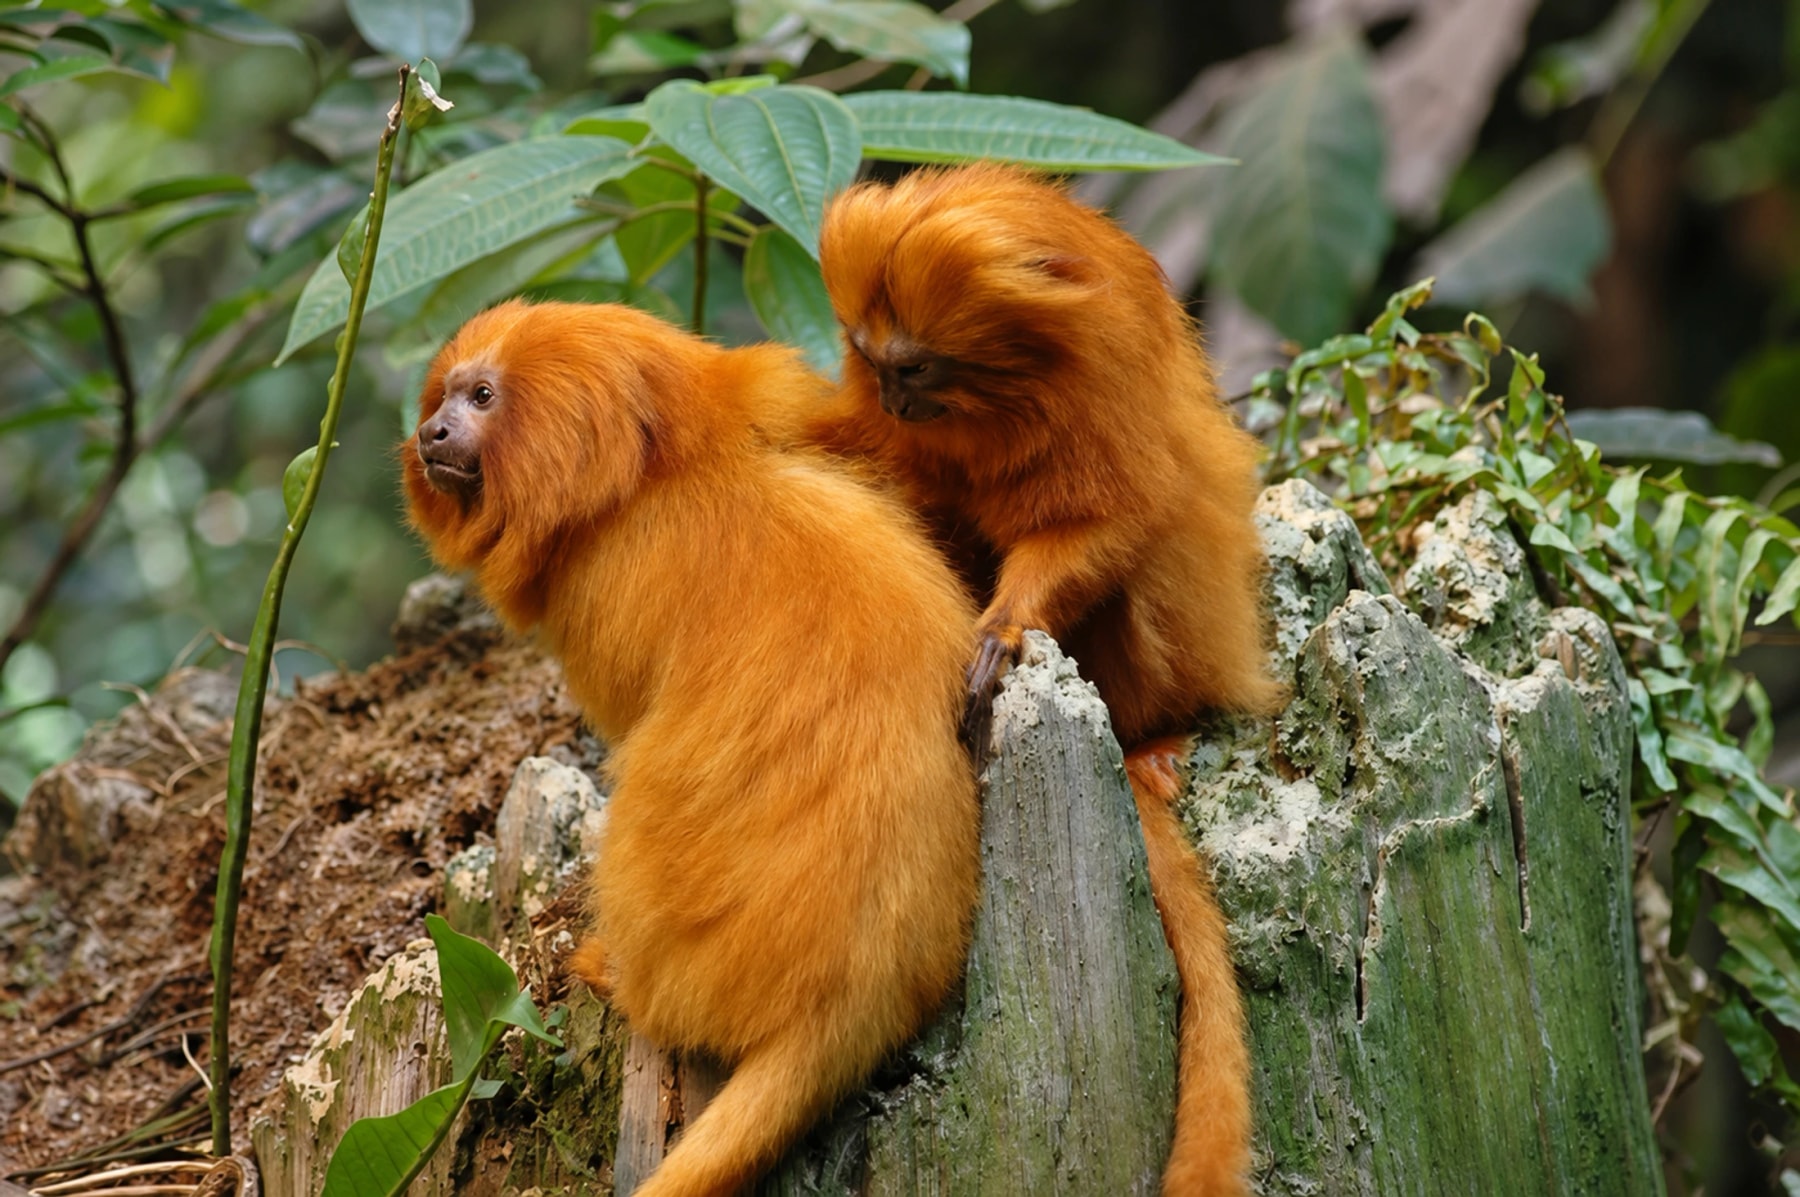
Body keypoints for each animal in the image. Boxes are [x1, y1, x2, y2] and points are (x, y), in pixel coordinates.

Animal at [402, 299, 982, 1197]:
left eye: (481, 397)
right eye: (449, 396)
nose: (432, 430)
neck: (658, 475)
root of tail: (847, 1003)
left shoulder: (609, 590)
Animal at [781, 163, 1283, 1196]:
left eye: (917, 367)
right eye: (873, 362)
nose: (894, 400)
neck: (998, 404)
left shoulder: (1104, 392)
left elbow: (1114, 519)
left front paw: (1007, 627)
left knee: (1160, 557)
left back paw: (1150, 742)